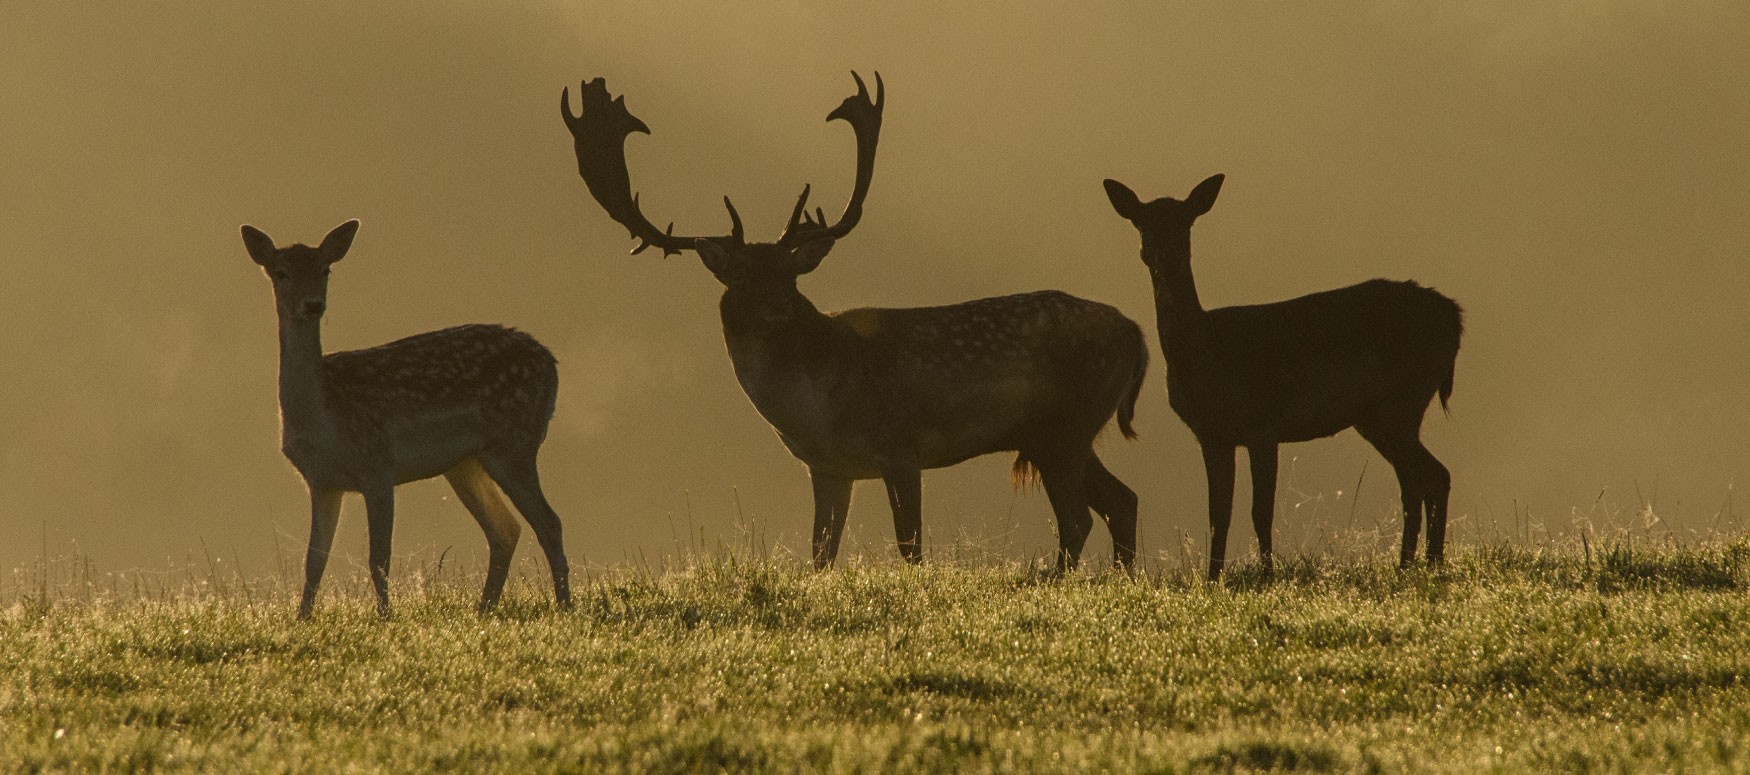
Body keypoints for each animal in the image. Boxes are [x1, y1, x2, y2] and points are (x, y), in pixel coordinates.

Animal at [243, 221, 570, 622]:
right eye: (281, 272)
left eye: (325, 269)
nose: (313, 304)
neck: (324, 417)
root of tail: (551, 362)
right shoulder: (321, 481)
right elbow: (314, 561)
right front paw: (302, 619)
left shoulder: (378, 465)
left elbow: (378, 558)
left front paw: (385, 618)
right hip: (465, 463)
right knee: (505, 530)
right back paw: (482, 612)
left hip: (513, 441)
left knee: (548, 522)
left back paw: (564, 607)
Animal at [560, 72, 1155, 570]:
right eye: (742, 277)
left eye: (789, 275)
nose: (777, 308)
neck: (815, 407)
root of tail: (1136, 334)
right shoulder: (826, 467)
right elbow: (820, 553)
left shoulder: (902, 446)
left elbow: (910, 546)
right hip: (1061, 432)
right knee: (1121, 500)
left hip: (1066, 425)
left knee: (1078, 519)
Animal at [1106, 174, 1463, 577]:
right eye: (1142, 223)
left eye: (1186, 223)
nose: (1167, 257)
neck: (1206, 351)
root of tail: (1454, 317)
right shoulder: (1212, 435)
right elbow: (1218, 515)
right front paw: (1213, 578)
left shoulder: (1263, 426)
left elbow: (1260, 511)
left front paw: (1266, 575)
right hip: (1378, 416)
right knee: (1425, 480)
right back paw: (1419, 564)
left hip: (1402, 401)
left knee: (1428, 478)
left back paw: (1421, 564)